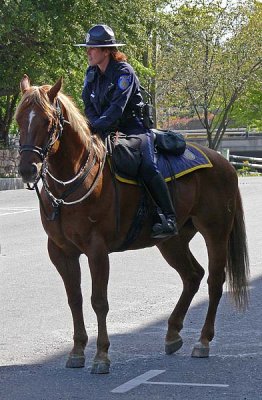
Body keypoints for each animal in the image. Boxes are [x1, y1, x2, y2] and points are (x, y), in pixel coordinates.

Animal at [15, 76, 249, 376]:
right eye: (19, 119)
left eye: (47, 120)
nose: (27, 169)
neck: (71, 182)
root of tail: (223, 162)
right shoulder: (60, 252)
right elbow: (75, 298)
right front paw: (77, 350)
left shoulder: (97, 250)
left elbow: (99, 301)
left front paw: (101, 355)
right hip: (171, 241)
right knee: (192, 275)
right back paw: (172, 333)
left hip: (215, 232)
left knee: (215, 281)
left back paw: (203, 341)